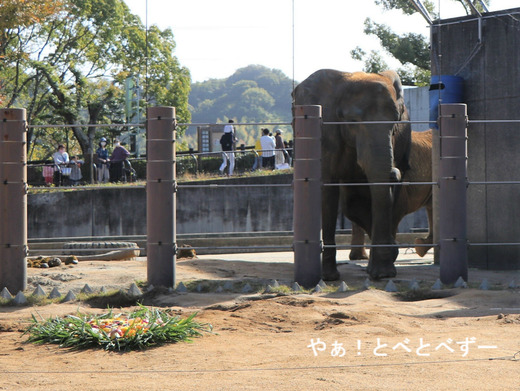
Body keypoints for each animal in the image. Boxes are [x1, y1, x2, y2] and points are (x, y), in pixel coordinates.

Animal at [292, 69, 414, 280]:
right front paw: (329, 277)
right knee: (351, 203)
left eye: (396, 121)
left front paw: (382, 273)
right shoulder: (325, 129)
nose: (395, 171)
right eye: (353, 121)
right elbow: (327, 189)